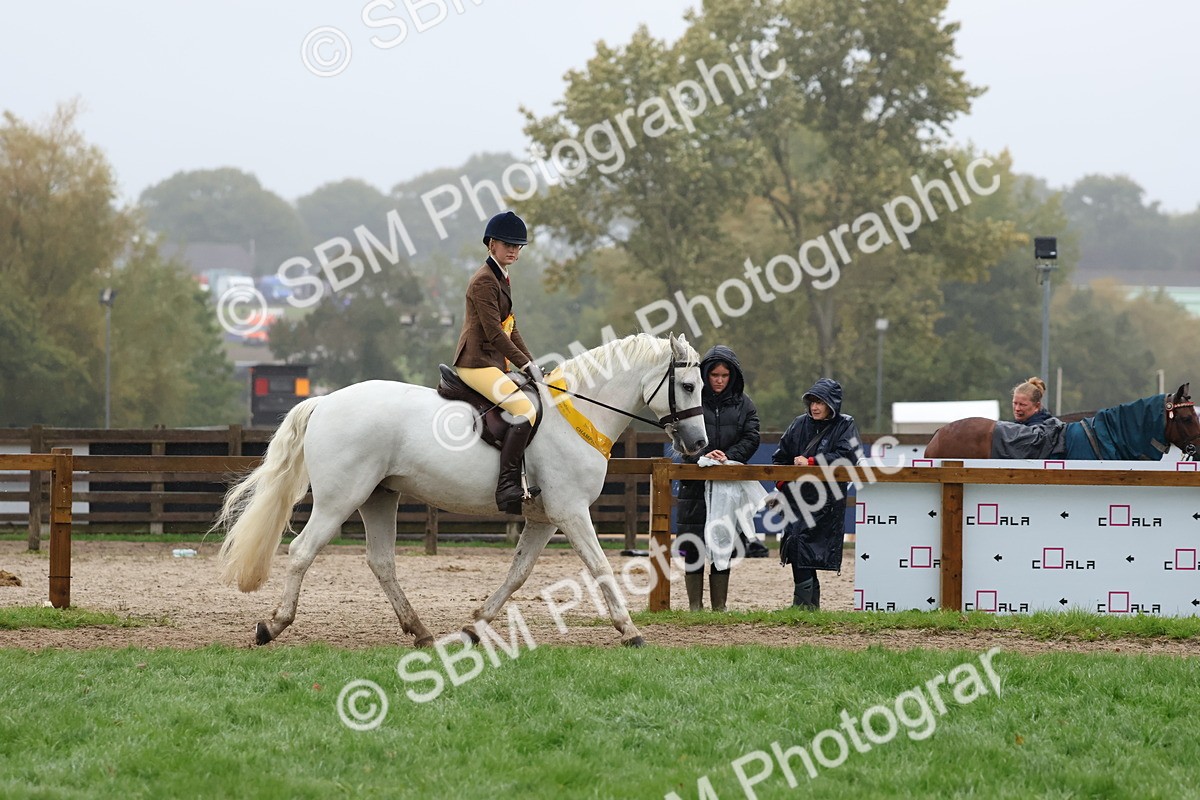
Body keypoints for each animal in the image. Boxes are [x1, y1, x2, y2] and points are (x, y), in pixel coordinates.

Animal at [214, 333, 708, 648]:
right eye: (687, 385)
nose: (699, 444)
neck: (576, 416)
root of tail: (326, 401)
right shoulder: (571, 513)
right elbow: (602, 566)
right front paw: (630, 632)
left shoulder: (545, 519)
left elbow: (518, 573)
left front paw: (476, 626)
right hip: (341, 499)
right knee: (302, 552)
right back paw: (273, 626)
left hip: (379, 497)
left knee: (381, 562)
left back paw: (420, 631)